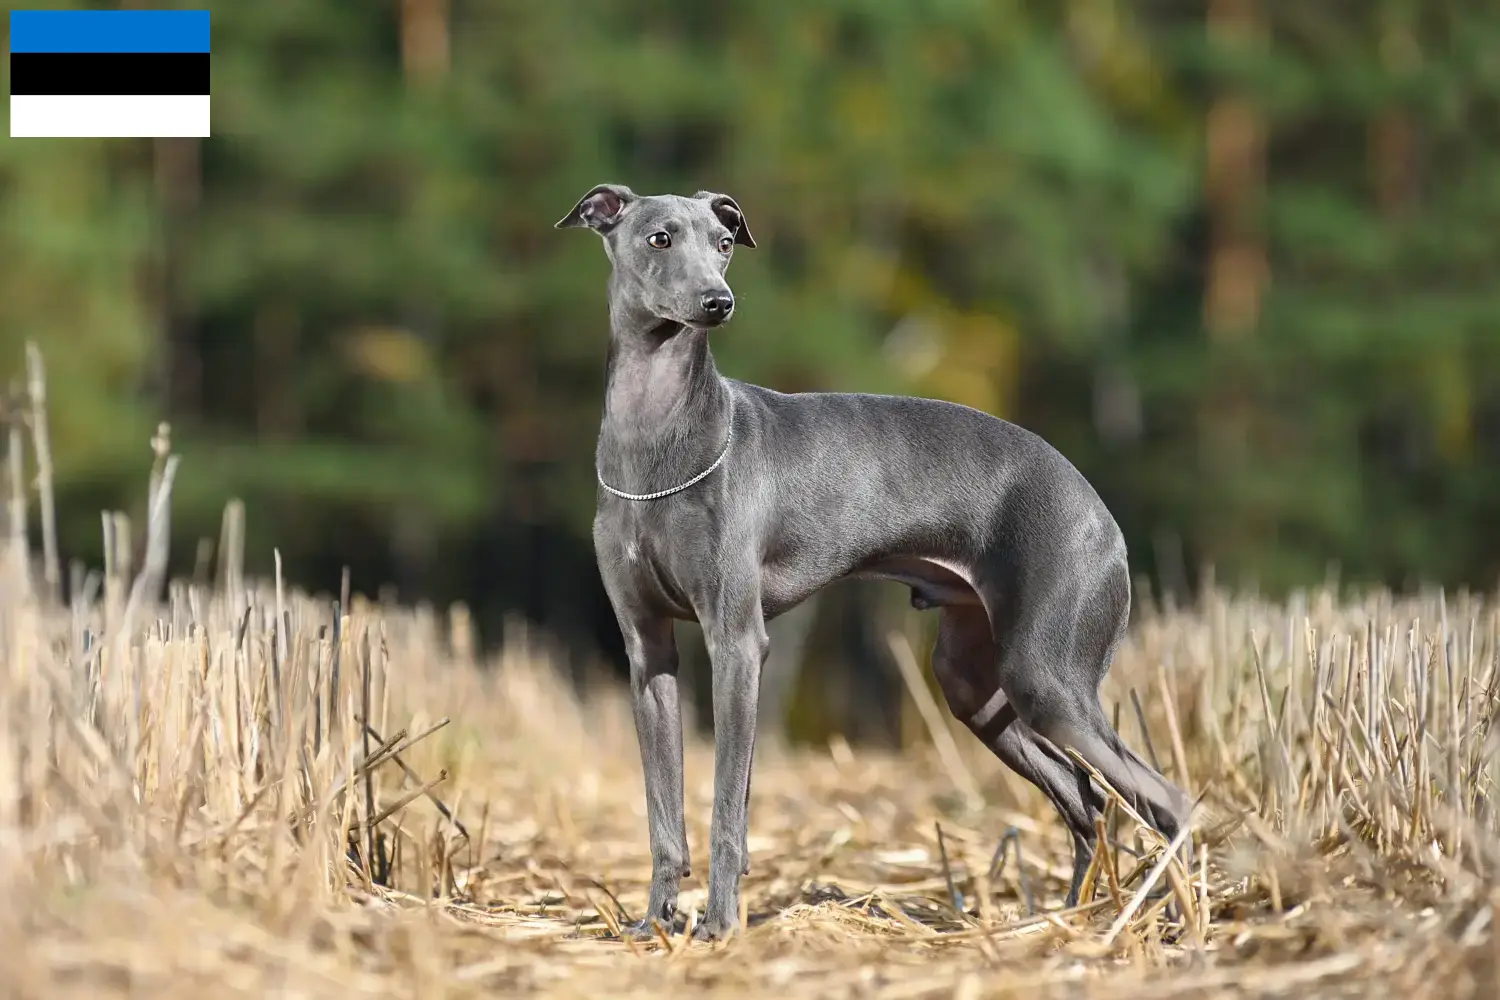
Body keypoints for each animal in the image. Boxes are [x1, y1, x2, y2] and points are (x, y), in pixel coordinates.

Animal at [558, 183, 1188, 941]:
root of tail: (1100, 511)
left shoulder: (736, 642)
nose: (718, 302)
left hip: (1047, 677)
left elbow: (728, 808)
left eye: (723, 242)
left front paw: (719, 926)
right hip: (976, 686)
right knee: (1083, 796)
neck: (655, 441)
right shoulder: (647, 650)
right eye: (659, 238)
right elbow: (663, 814)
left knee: (1165, 798)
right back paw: (1066, 922)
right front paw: (654, 923)